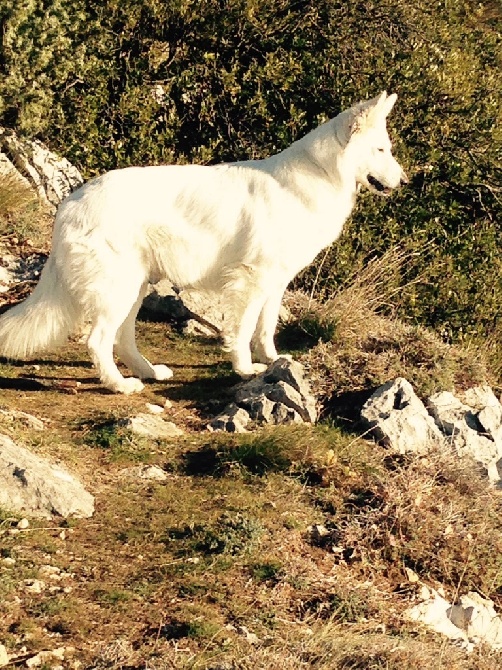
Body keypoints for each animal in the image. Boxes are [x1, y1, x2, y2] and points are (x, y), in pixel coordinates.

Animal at [0, 90, 408, 394]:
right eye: (381, 150)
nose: (404, 182)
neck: (319, 173)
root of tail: (70, 202)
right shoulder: (251, 280)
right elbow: (243, 329)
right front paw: (245, 368)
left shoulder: (274, 283)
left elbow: (266, 327)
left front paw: (274, 360)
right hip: (119, 290)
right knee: (98, 341)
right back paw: (120, 386)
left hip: (135, 288)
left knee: (122, 339)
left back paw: (148, 372)